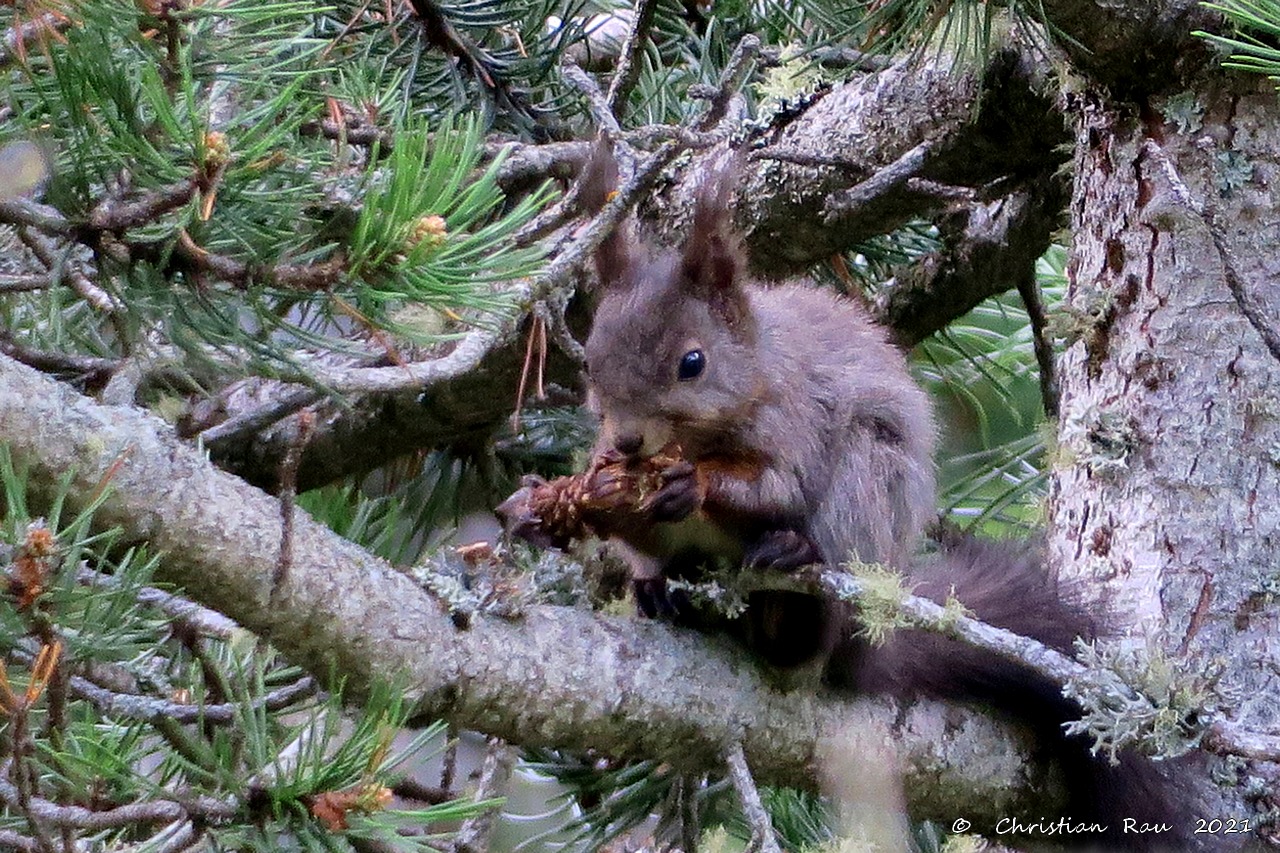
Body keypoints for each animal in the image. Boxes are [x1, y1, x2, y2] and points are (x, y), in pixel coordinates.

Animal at [547, 142, 1208, 845]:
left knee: (808, 630)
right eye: (590, 360)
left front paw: (692, 485)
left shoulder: (796, 422)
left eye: (692, 363)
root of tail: (869, 646)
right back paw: (661, 589)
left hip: (864, 487)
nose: (626, 443)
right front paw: (593, 498)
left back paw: (792, 585)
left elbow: (772, 488)